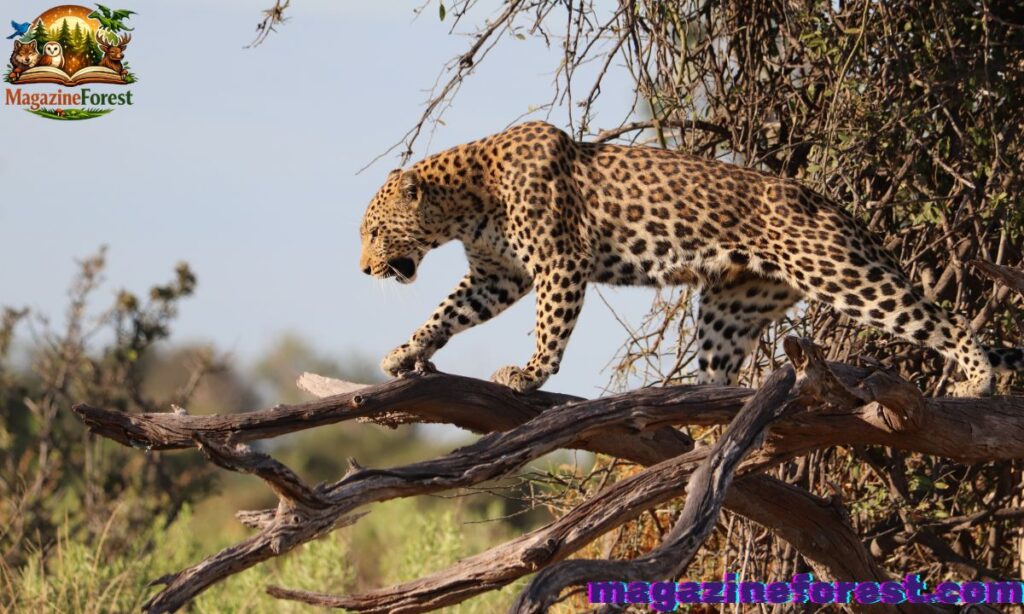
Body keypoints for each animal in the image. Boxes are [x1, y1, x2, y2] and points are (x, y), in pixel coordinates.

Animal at [358, 121, 1024, 396]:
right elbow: (446, 313)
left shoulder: (558, 262)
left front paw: (530, 373)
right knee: (721, 368)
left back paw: (977, 377)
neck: (465, 201)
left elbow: (550, 326)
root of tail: (831, 203)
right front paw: (404, 351)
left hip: (841, 273)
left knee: (937, 319)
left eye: (372, 231)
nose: (363, 271)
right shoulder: (498, 275)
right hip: (735, 302)